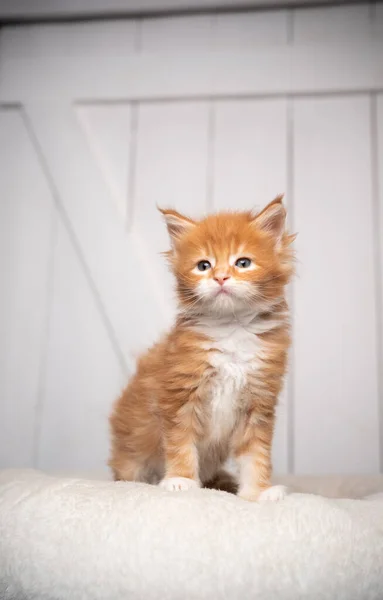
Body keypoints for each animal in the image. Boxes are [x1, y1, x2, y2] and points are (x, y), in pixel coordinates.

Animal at [109, 197, 296, 502]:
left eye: (243, 263)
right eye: (203, 265)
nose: (220, 278)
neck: (232, 328)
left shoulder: (259, 402)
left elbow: (255, 454)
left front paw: (258, 492)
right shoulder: (178, 395)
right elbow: (181, 443)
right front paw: (181, 480)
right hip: (130, 452)